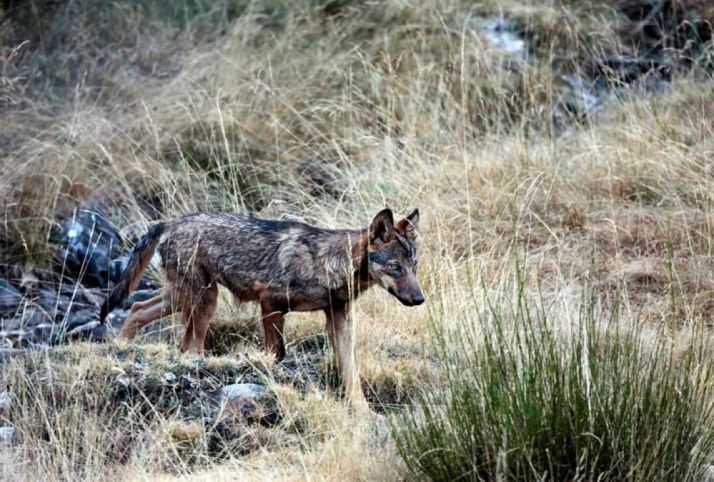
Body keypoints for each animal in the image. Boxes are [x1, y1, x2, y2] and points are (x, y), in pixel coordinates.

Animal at [99, 208, 423, 409]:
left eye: (415, 266)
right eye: (395, 267)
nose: (420, 300)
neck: (327, 263)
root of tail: (170, 222)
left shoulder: (339, 320)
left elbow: (351, 375)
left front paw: (364, 413)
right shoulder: (270, 303)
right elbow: (276, 353)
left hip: (185, 298)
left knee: (138, 308)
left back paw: (120, 347)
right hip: (202, 301)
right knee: (187, 346)